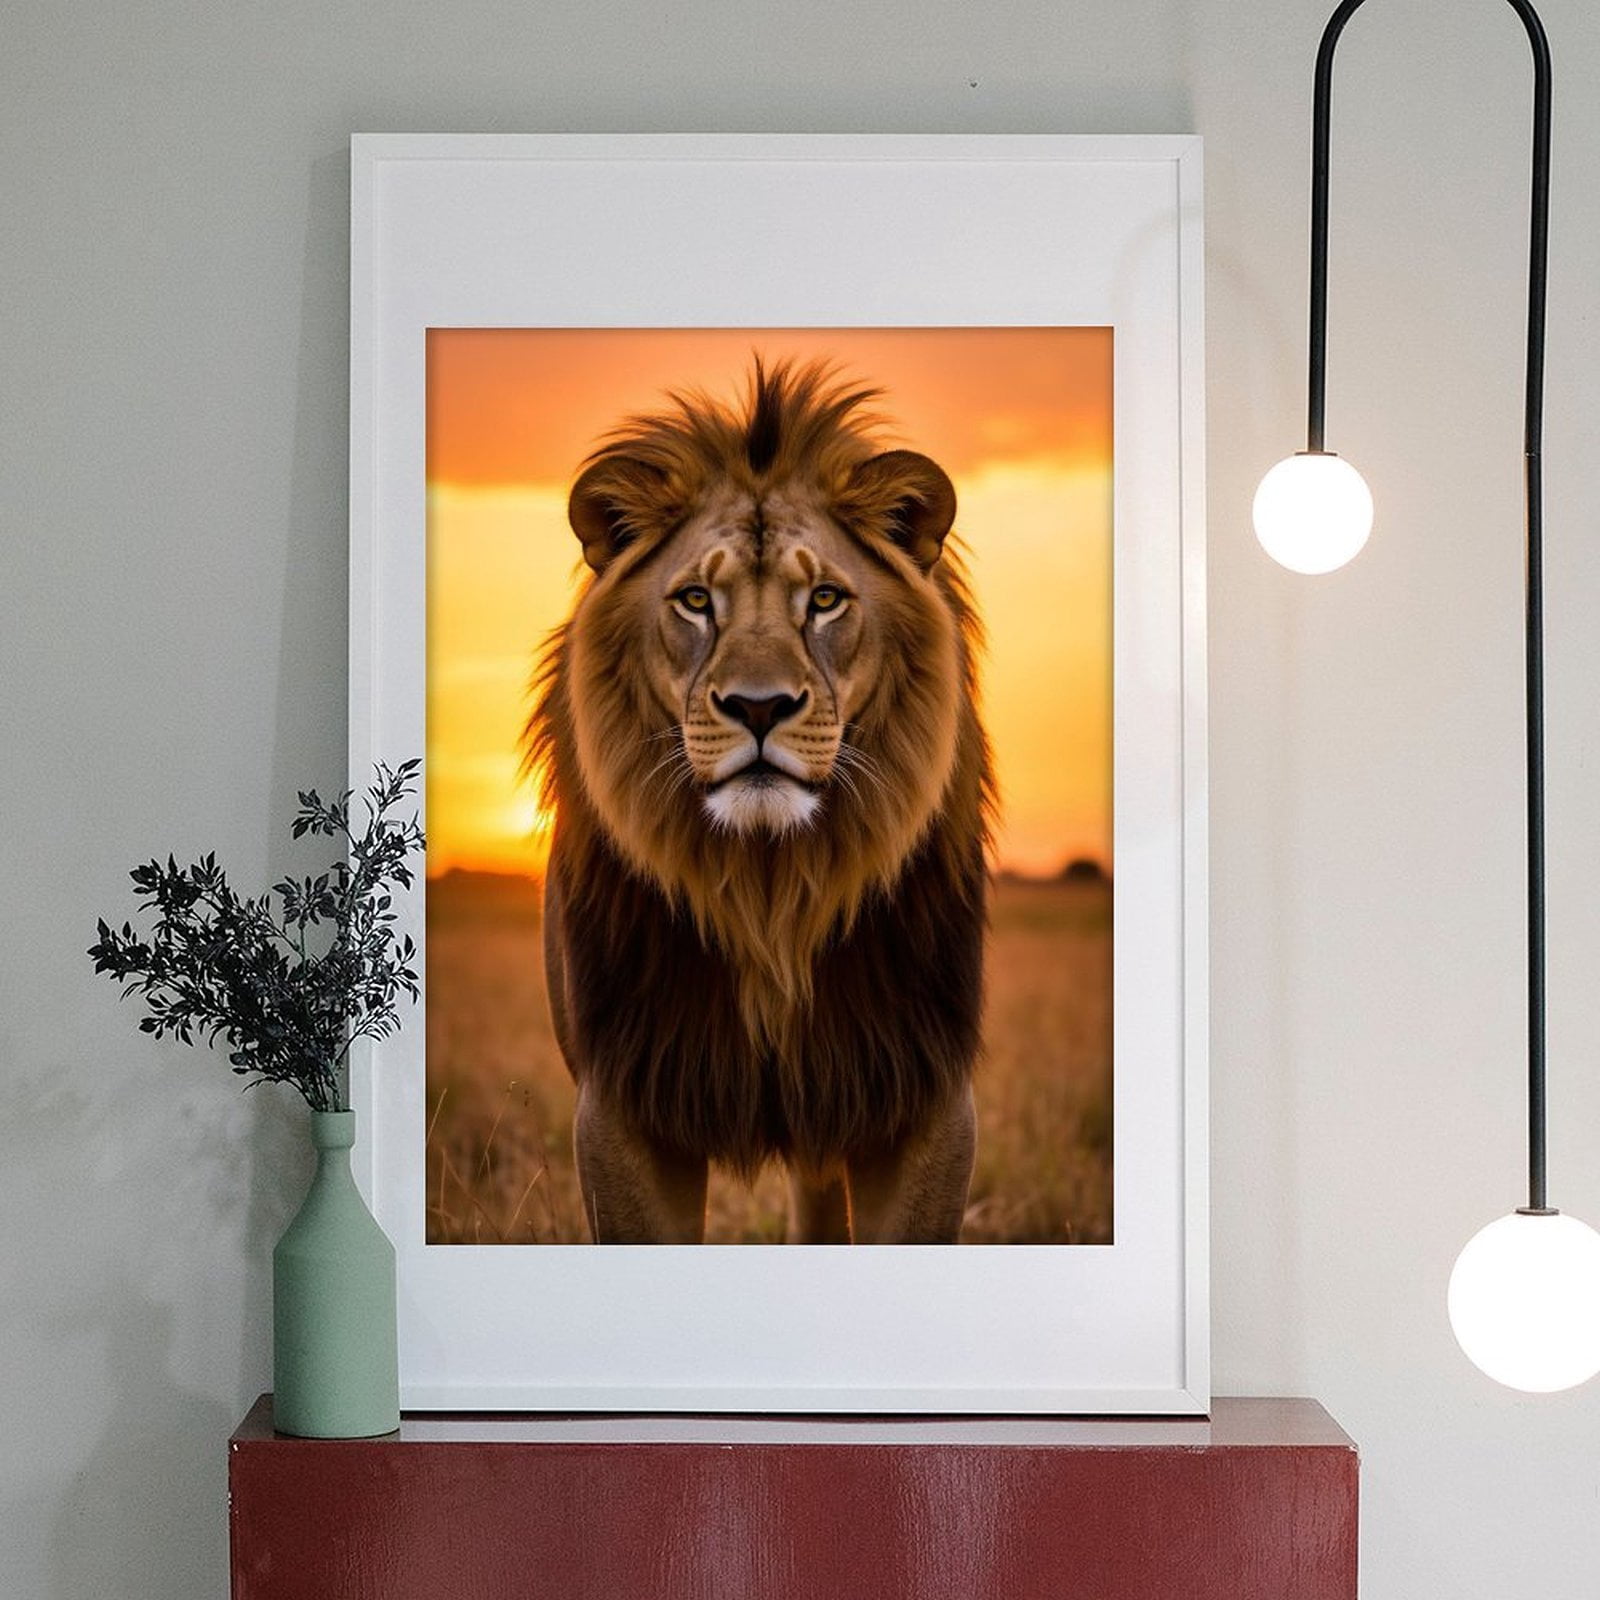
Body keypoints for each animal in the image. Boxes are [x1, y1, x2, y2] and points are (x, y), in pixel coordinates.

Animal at [526, 358, 994, 1244]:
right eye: (696, 601)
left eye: (825, 600)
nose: (759, 706)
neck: (769, 891)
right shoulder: (624, 1097)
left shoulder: (920, 1090)